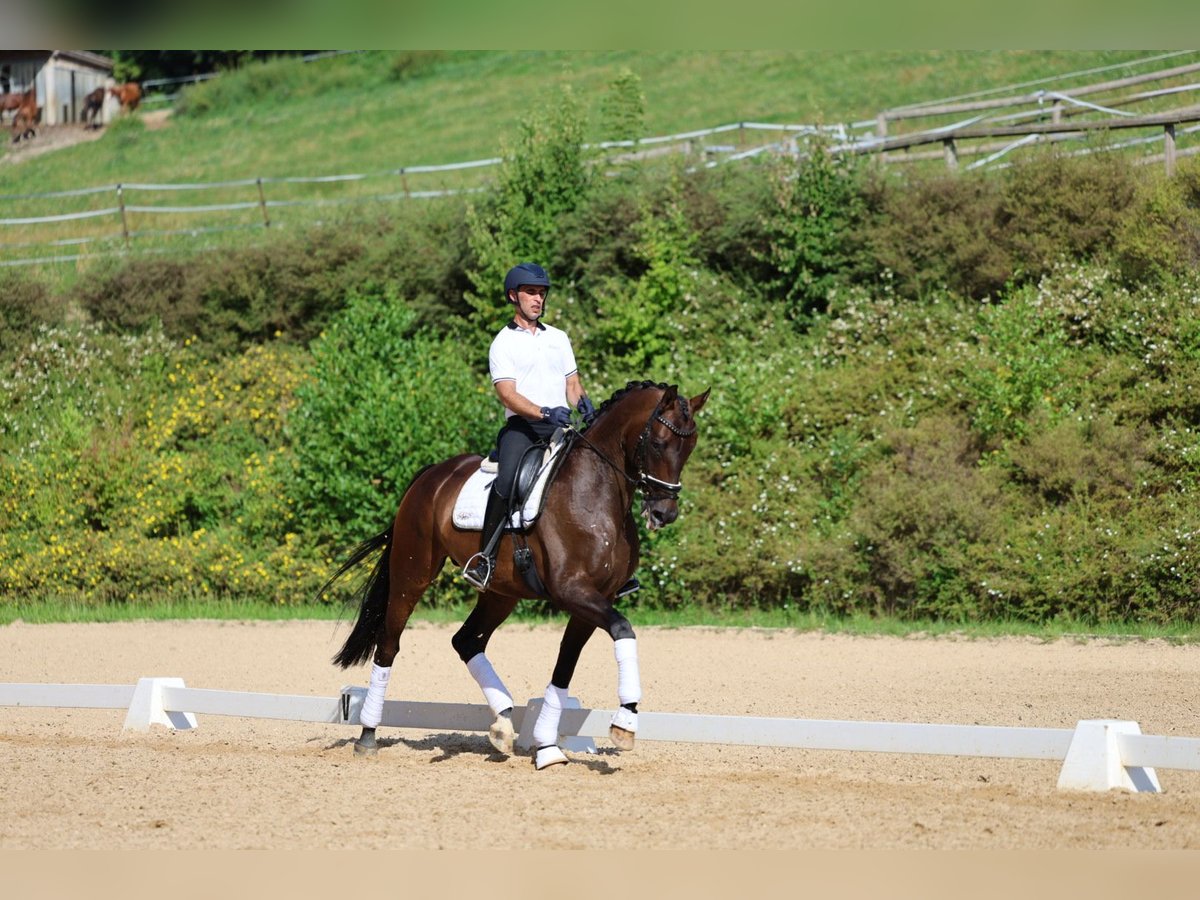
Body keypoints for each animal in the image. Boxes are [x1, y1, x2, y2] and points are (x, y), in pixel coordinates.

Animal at [324, 379, 705, 768]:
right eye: (658, 443)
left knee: (465, 641)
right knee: (389, 642)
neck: (595, 493)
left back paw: (503, 723)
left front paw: (548, 746)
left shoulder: (597, 597)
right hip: (411, 573)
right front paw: (625, 722)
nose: (663, 513)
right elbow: (623, 629)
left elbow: (565, 666)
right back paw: (368, 734)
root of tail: (431, 474)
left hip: (500, 593)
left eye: (690, 447)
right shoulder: (573, 591)